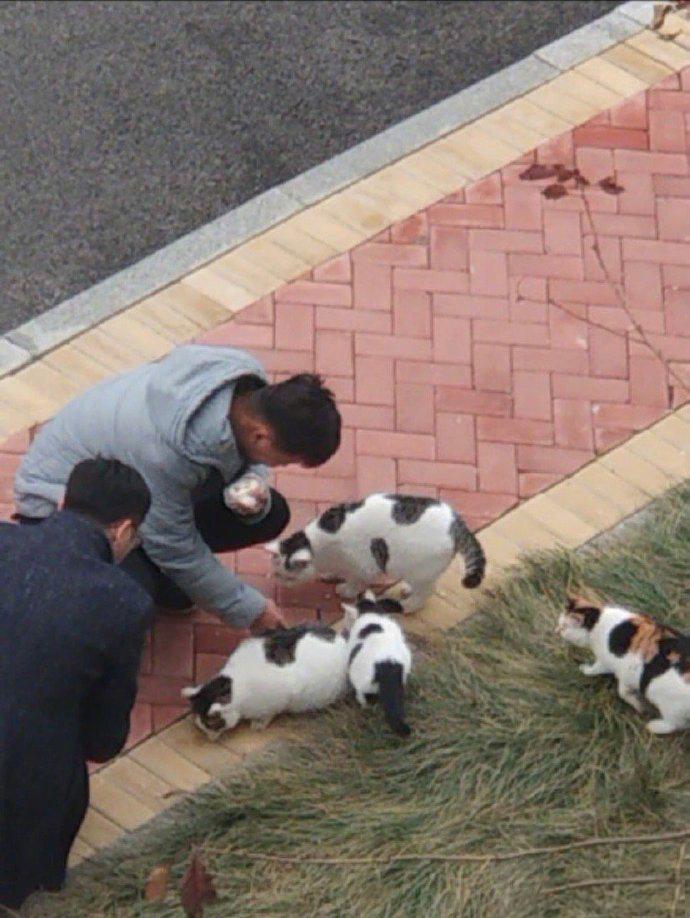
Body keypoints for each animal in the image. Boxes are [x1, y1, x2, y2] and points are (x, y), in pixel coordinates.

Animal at [180, 624, 346, 740]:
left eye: (210, 726)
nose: (209, 738)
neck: (234, 685)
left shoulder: (282, 697)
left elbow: (270, 713)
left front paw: (259, 724)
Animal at [264, 492, 484, 616]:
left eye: (287, 576)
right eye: (276, 573)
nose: (278, 581)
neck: (318, 544)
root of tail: (456, 524)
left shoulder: (364, 565)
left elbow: (355, 581)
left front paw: (346, 590)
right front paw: (330, 575)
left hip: (420, 569)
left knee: (426, 592)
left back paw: (408, 605)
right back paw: (407, 589)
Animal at [556, 596, 688, 740]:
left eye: (564, 627)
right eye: (559, 624)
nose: (556, 631)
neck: (599, 620)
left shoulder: (613, 666)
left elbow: (617, 688)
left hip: (668, 704)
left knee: (674, 725)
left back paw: (653, 726)